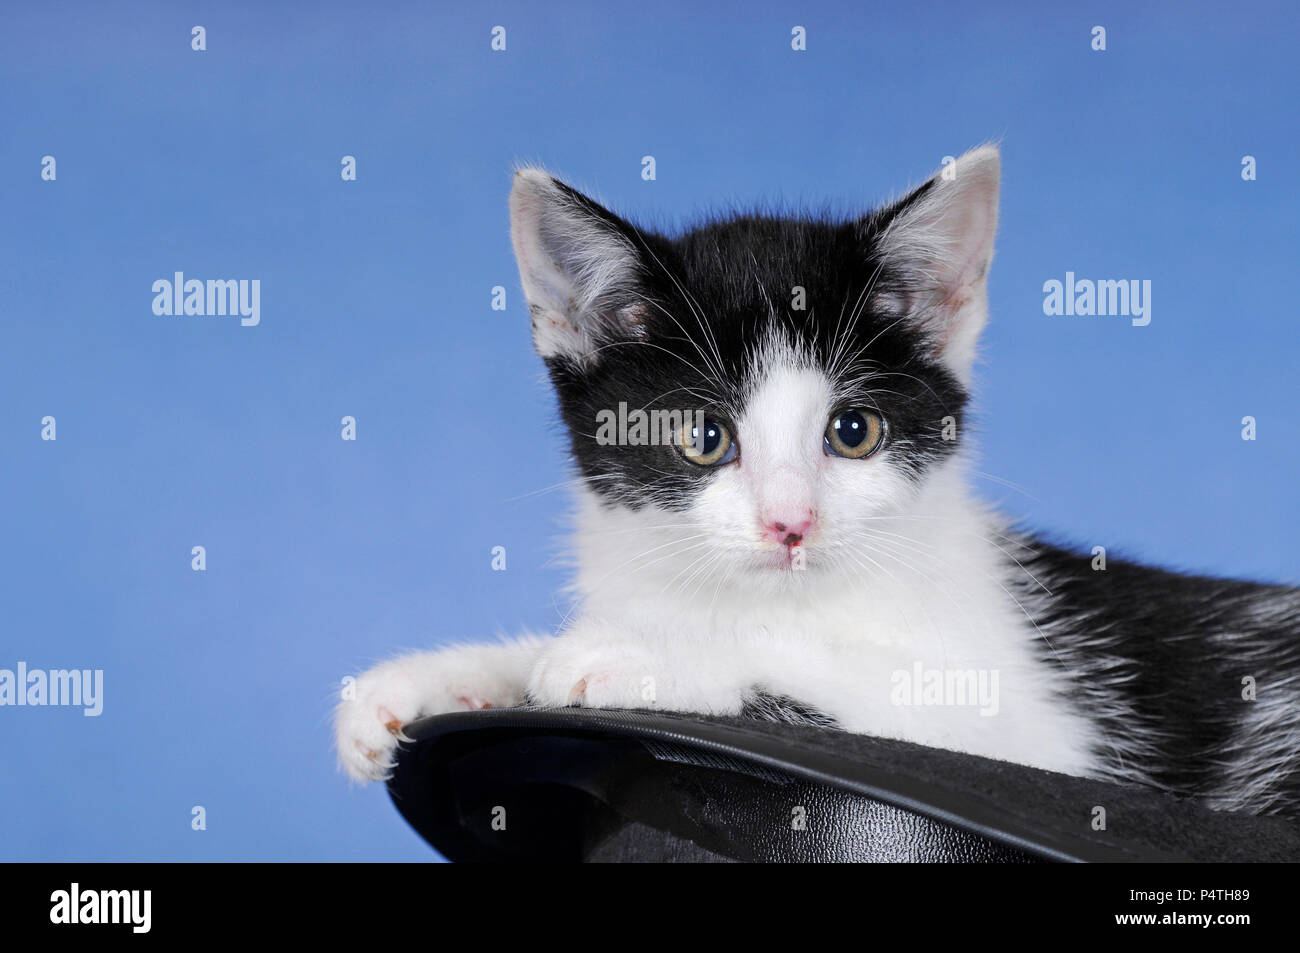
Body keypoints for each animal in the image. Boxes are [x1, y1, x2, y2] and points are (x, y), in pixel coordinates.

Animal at [338, 146, 1300, 816]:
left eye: (853, 431)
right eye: (703, 437)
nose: (790, 523)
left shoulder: (1050, 737)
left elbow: (855, 683)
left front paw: (637, 652)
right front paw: (430, 680)